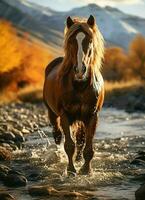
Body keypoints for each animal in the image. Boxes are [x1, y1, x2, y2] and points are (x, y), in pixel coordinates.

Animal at [42, 15, 104, 175]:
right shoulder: (65, 115)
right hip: (52, 113)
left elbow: (87, 146)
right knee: (57, 135)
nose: (80, 70)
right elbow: (69, 145)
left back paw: (78, 159)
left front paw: (86, 170)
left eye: (90, 40)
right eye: (71, 41)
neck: (80, 85)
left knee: (80, 140)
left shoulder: (92, 116)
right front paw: (70, 170)